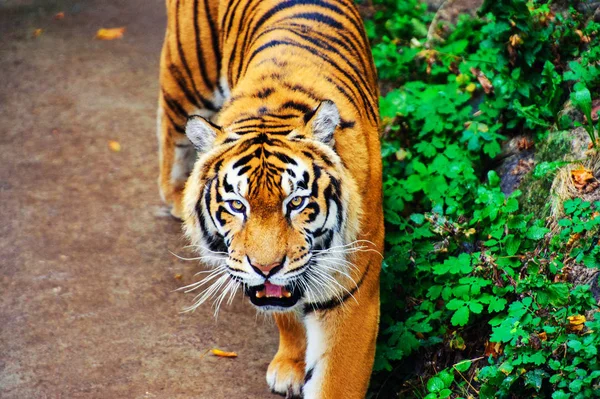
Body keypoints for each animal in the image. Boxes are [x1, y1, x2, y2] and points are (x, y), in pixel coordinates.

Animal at [157, 1, 384, 398]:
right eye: (237, 206)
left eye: (295, 203)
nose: (266, 267)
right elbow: (284, 314)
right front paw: (290, 366)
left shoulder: (351, 294)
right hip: (187, 73)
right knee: (173, 128)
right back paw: (174, 194)